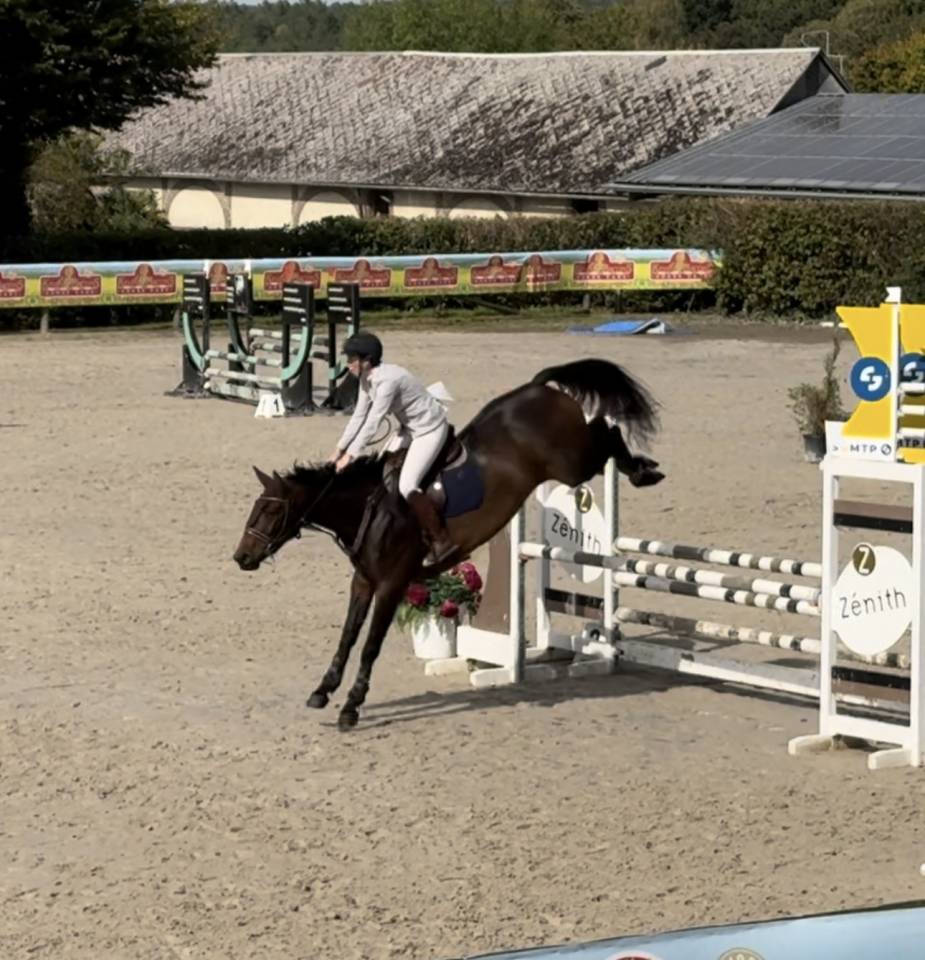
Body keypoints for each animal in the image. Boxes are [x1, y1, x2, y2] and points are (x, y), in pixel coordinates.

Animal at [233, 358, 664, 729]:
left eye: (269, 511)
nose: (241, 557)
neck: (369, 509)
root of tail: (538, 388)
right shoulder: (364, 581)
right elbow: (348, 636)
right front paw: (323, 691)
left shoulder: (391, 584)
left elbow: (370, 644)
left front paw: (351, 706)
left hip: (572, 464)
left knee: (605, 431)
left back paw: (644, 469)